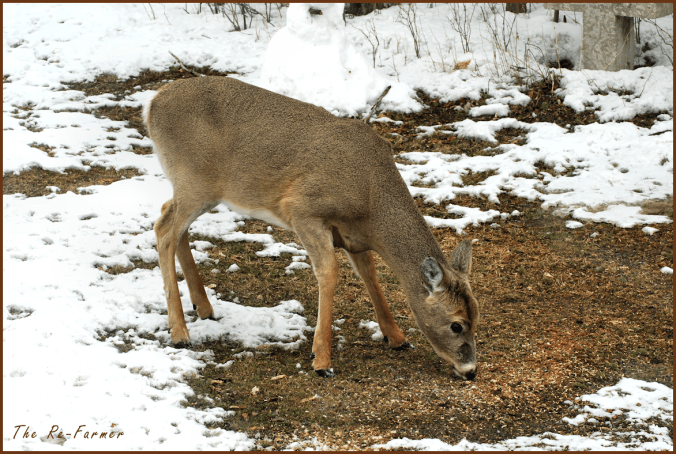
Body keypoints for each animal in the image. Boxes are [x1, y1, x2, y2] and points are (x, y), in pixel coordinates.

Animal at [144, 76, 480, 380]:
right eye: (456, 324)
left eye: (477, 316)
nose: (471, 371)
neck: (370, 198)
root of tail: (152, 105)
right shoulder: (303, 210)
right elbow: (329, 273)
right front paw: (322, 360)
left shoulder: (352, 236)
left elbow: (369, 274)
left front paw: (396, 338)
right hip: (195, 181)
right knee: (164, 228)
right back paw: (179, 332)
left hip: (195, 188)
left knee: (174, 223)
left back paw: (203, 307)